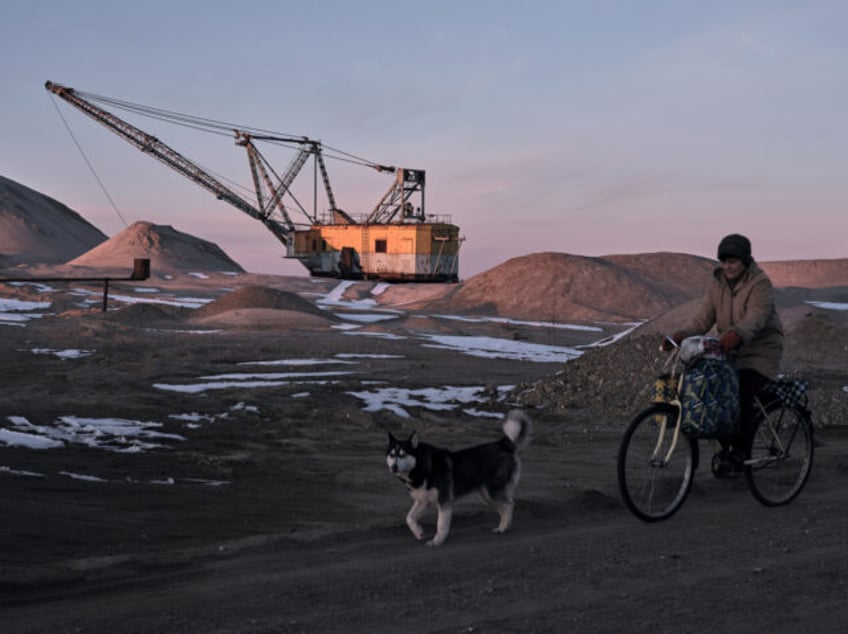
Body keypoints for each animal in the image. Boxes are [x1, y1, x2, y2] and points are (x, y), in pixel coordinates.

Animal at [384, 408, 528, 544]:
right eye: (392, 455)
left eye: (402, 454)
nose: (394, 467)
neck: (422, 466)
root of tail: (502, 444)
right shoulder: (423, 501)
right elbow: (409, 518)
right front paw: (419, 533)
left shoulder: (444, 501)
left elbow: (441, 525)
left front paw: (437, 541)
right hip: (487, 496)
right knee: (504, 507)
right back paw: (502, 526)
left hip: (492, 492)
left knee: (509, 504)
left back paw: (503, 527)